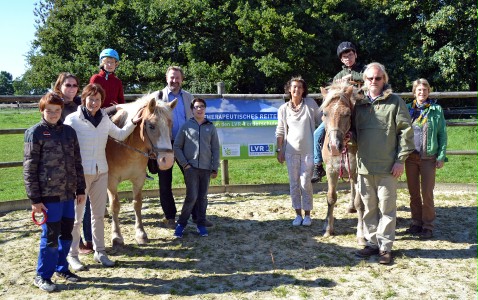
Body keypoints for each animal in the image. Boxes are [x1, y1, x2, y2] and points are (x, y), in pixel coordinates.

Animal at [106, 91, 177, 246]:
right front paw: (116, 236)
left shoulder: (139, 179)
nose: (167, 160)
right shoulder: (111, 181)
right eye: (151, 126)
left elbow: (137, 204)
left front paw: (141, 233)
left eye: (171, 124)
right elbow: (115, 206)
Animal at [322, 82, 366, 246]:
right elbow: (331, 198)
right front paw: (328, 229)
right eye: (325, 113)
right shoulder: (331, 171)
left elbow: (361, 203)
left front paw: (361, 235)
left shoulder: (359, 173)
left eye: (347, 114)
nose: (335, 146)